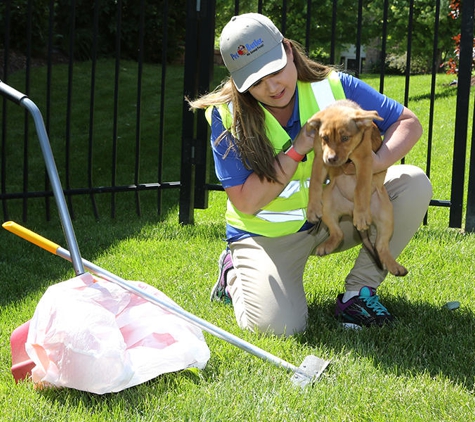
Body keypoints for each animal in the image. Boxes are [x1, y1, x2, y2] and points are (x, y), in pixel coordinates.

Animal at [306, 99, 408, 276]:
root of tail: (349, 210)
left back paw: (395, 267)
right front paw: (312, 209)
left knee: (381, 246)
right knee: (338, 233)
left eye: (345, 138)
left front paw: (361, 216)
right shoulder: (319, 158)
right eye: (324, 137)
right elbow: (314, 184)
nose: (331, 159)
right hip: (327, 204)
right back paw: (327, 246)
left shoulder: (365, 160)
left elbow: (360, 188)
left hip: (387, 217)